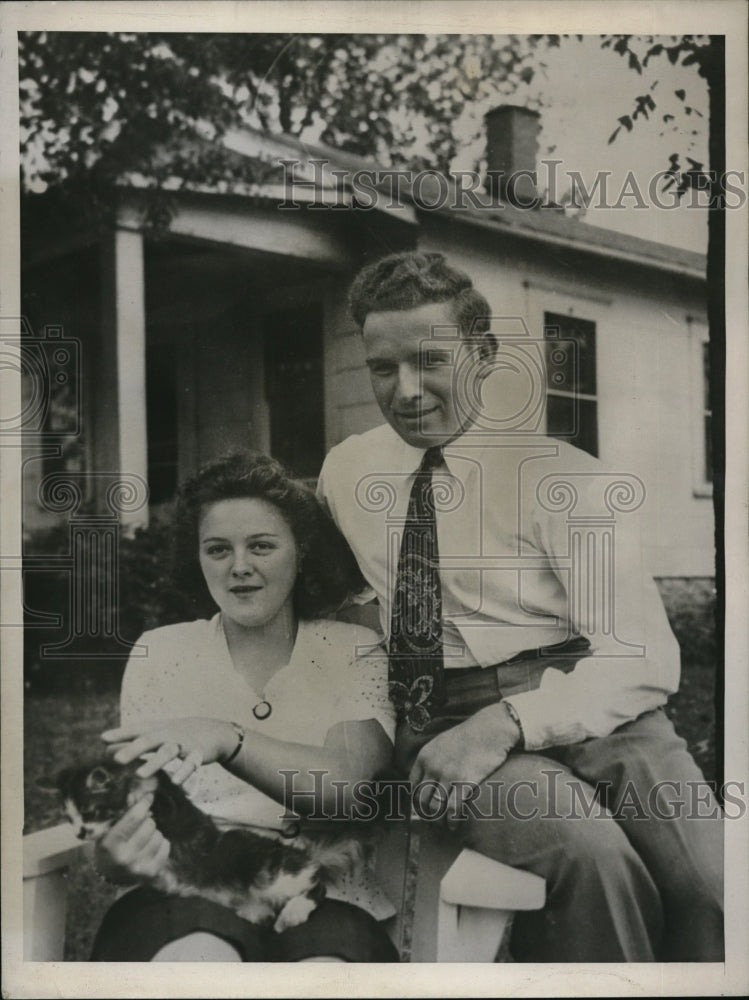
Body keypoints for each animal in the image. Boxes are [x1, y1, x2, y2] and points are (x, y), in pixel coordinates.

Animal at [46, 760, 372, 932]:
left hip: (271, 874)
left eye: (90, 812)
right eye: (70, 817)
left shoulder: (172, 807)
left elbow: (159, 800)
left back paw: (293, 913)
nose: (81, 833)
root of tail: (301, 853)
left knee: (316, 886)